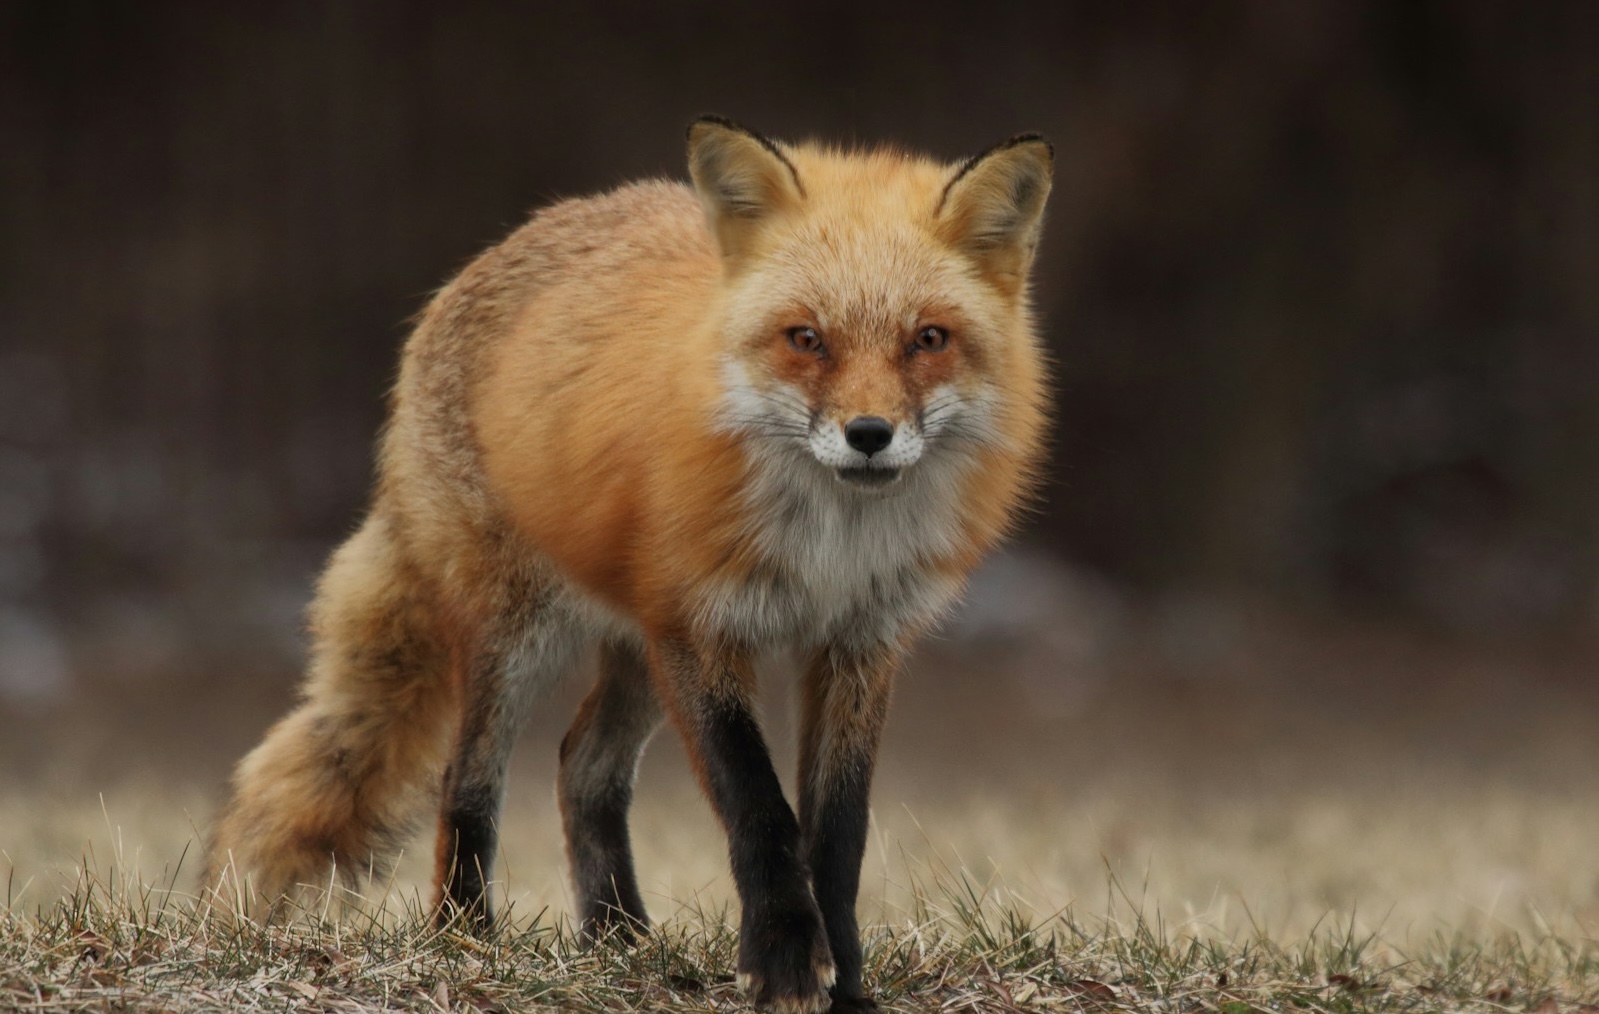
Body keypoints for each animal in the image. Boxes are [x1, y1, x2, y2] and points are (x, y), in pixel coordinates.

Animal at [203, 116, 1051, 1013]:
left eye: (927, 340)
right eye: (805, 339)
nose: (867, 434)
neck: (828, 546)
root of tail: (497, 250)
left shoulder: (858, 646)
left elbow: (838, 834)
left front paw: (845, 982)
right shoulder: (700, 629)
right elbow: (760, 810)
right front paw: (785, 963)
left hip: (638, 649)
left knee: (582, 767)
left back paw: (618, 938)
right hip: (523, 634)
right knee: (465, 781)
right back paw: (466, 939)